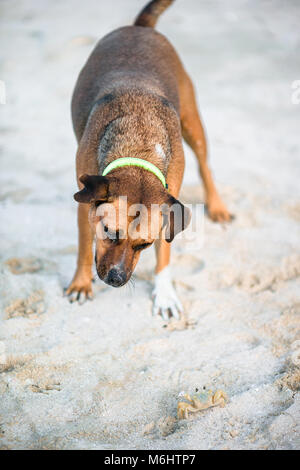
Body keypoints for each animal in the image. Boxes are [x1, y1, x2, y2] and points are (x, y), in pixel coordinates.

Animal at [66, 0, 232, 320]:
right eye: (108, 232)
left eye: (144, 244)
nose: (116, 279)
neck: (138, 147)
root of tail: (140, 28)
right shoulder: (84, 206)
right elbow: (82, 247)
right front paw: (81, 284)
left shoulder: (170, 203)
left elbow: (165, 253)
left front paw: (165, 293)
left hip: (192, 122)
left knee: (205, 166)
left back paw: (217, 206)